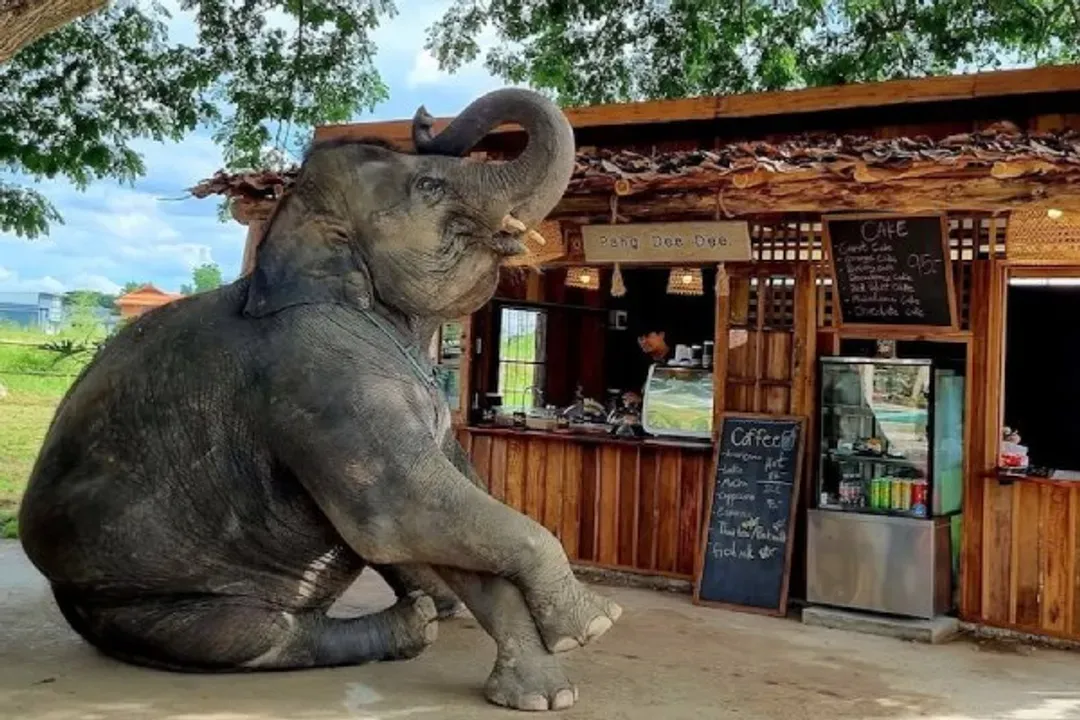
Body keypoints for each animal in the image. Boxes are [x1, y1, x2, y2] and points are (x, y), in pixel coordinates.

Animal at [17, 87, 622, 712]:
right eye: (428, 187)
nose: (426, 117)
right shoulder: (319, 378)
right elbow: (399, 510)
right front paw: (594, 624)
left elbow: (447, 517)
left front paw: (544, 696)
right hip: (130, 603)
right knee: (248, 635)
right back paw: (413, 627)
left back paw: (426, 614)